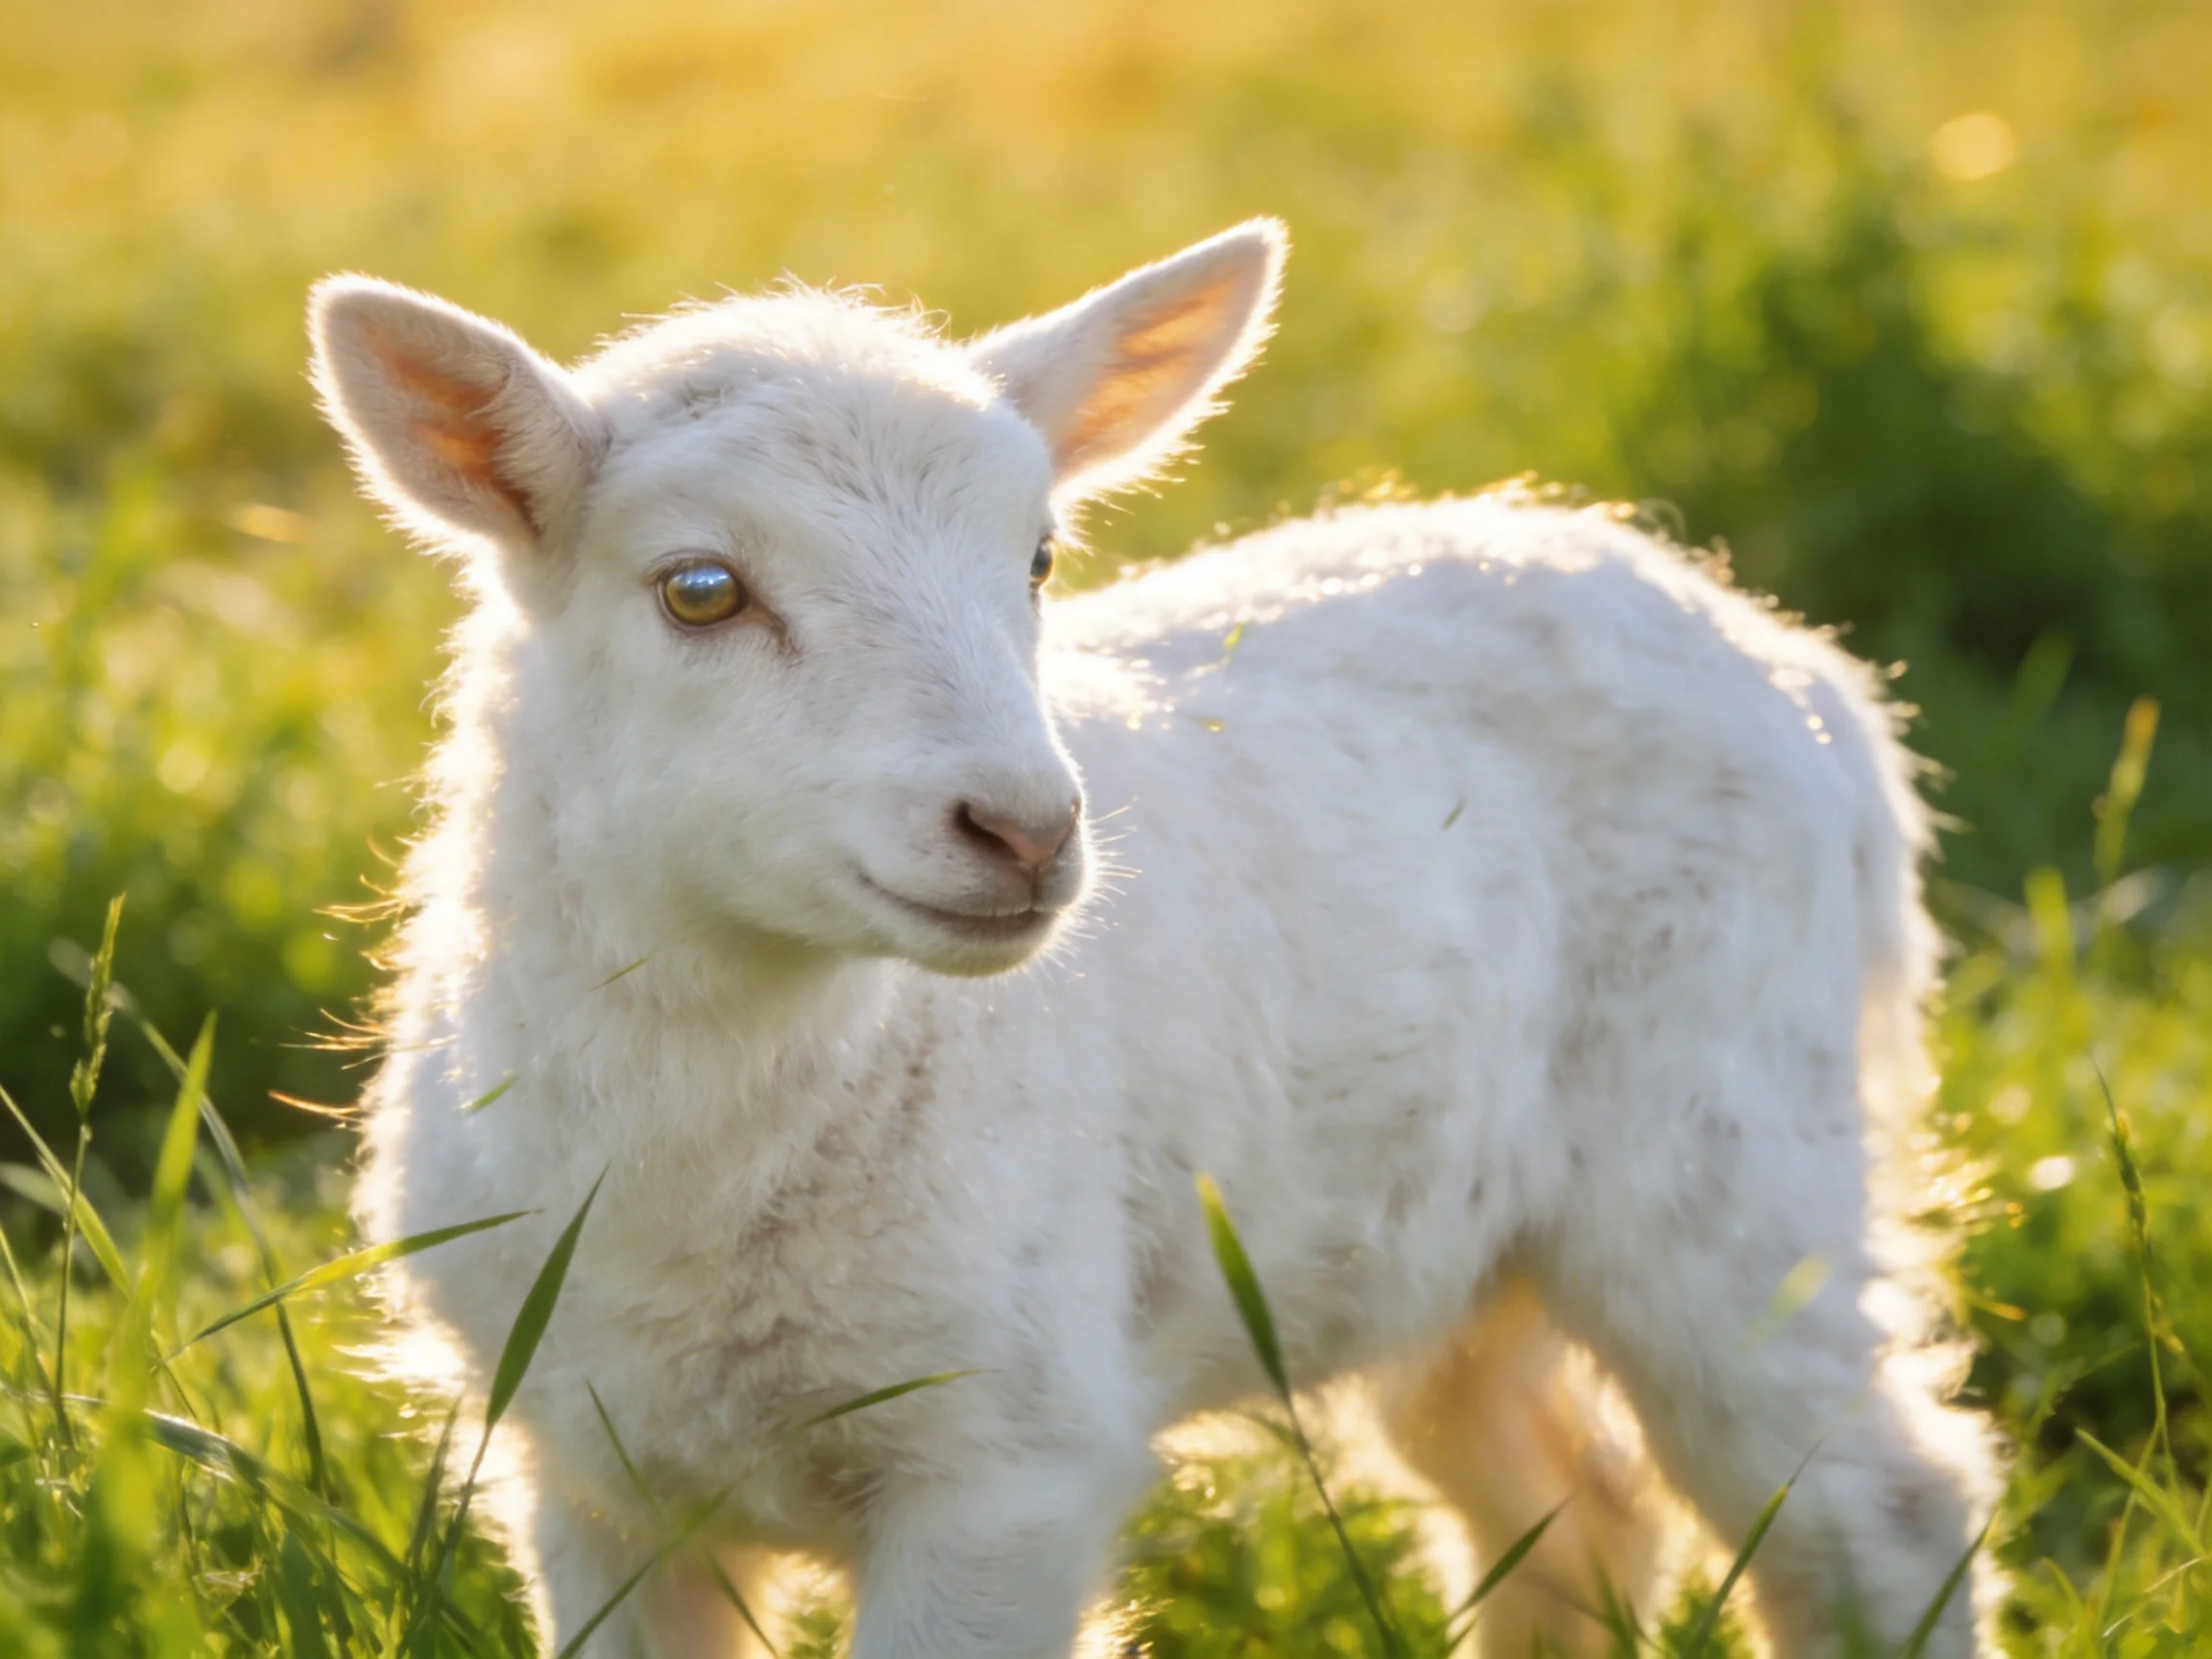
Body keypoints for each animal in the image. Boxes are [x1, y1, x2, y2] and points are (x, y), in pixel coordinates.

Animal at [309, 220, 1999, 1659]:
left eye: (1041, 558)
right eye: (701, 589)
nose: (1026, 830)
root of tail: (1796, 663)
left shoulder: (1009, 1461)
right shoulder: (593, 1480)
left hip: (1727, 1149)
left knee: (1880, 1509)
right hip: (1448, 1247)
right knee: (1565, 1508)